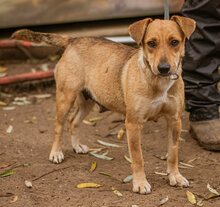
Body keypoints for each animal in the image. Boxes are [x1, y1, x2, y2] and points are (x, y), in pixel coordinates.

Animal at [11, 15, 196, 194]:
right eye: (151, 43)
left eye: (174, 42)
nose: (164, 68)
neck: (159, 83)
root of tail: (73, 39)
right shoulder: (133, 124)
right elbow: (138, 158)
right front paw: (140, 183)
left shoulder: (174, 121)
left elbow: (173, 153)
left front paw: (175, 176)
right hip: (65, 97)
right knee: (59, 125)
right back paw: (56, 153)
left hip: (87, 101)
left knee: (73, 121)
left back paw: (77, 146)